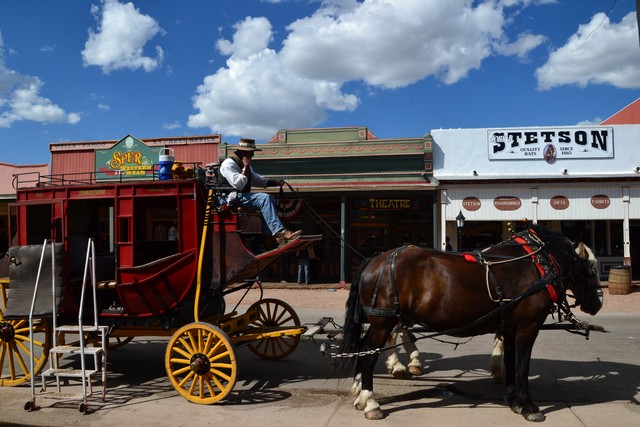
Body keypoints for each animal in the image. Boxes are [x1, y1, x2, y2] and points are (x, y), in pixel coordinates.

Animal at [338, 226, 604, 422]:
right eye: (591, 269)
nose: (598, 303)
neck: (538, 263)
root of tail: (376, 259)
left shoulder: (510, 326)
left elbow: (510, 361)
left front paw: (513, 400)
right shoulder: (527, 327)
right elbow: (522, 365)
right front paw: (528, 406)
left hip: (380, 322)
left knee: (363, 349)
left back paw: (362, 396)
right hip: (383, 322)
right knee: (369, 355)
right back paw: (371, 402)